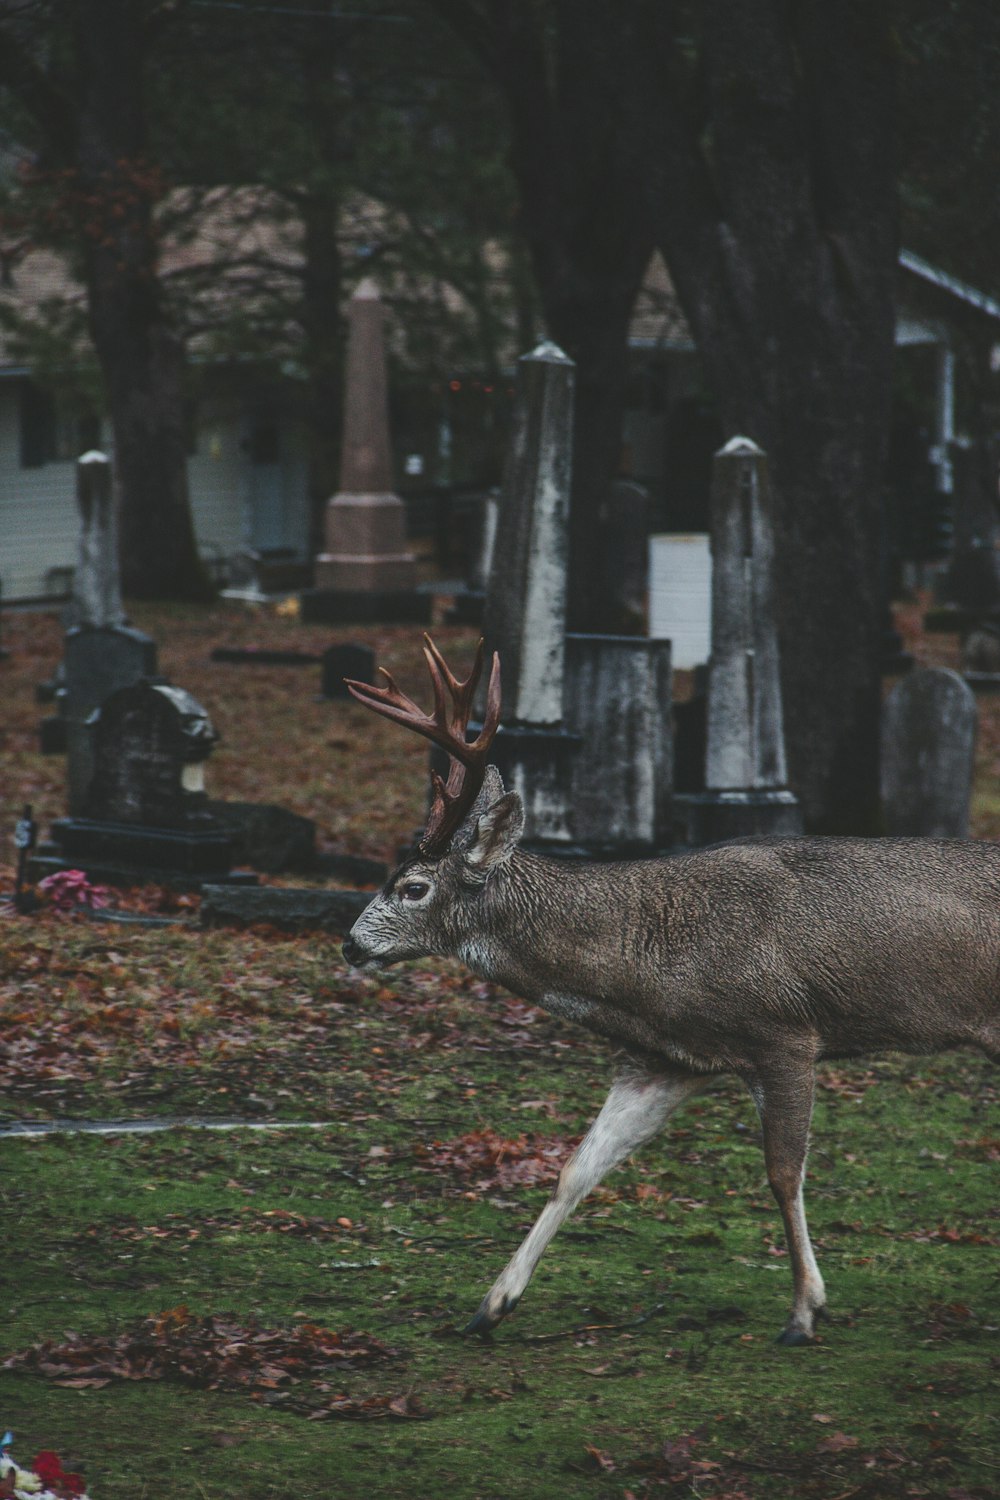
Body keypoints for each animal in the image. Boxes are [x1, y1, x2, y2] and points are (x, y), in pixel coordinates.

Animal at [341, 639, 1000, 1344]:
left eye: (413, 886)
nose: (350, 944)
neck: (648, 964)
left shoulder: (786, 1034)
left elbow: (782, 1175)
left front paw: (804, 1311)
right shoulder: (665, 1059)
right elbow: (575, 1170)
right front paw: (492, 1304)